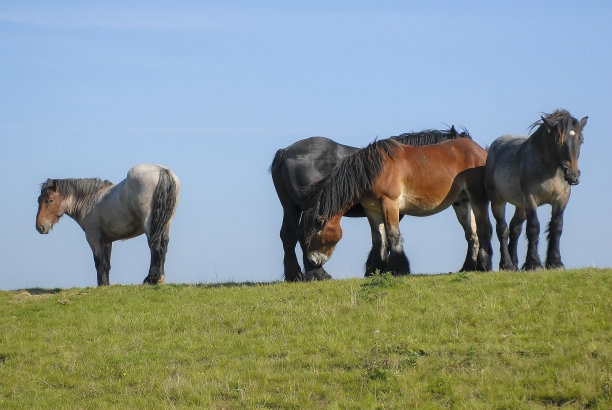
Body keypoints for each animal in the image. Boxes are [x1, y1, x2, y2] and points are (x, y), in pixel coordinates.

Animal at [35, 163, 179, 286]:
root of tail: (161, 170)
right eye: (38, 200)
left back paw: (151, 279)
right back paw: (160, 279)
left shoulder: (93, 238)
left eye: (50, 200)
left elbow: (99, 262)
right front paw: (106, 284)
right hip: (165, 224)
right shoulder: (107, 241)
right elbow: (107, 264)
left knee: (155, 246)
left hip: (150, 224)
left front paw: (102, 285)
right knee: (163, 246)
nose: (40, 226)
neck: (90, 201)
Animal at [268, 128, 474, 282]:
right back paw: (318, 274)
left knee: (288, 234)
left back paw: (295, 275)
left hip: (290, 207)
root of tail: (284, 152)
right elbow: (387, 237)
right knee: (303, 234)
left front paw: (374, 268)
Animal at [482, 107, 588, 270]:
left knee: (515, 229)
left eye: (581, 140)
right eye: (559, 141)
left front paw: (555, 262)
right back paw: (507, 264)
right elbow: (533, 227)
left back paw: (514, 263)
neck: (550, 171)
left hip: (520, 206)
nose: (572, 175)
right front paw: (534, 263)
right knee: (503, 229)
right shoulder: (531, 199)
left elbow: (556, 227)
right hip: (498, 201)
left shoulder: (562, 199)